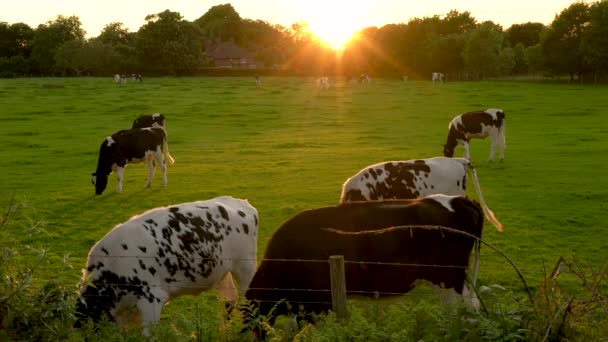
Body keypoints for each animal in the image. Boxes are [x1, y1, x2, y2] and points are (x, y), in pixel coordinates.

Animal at [75, 196, 258, 336]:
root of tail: (242, 203)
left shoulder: (151, 298)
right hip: (221, 271)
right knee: (230, 299)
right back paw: (223, 331)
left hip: (245, 267)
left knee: (250, 300)